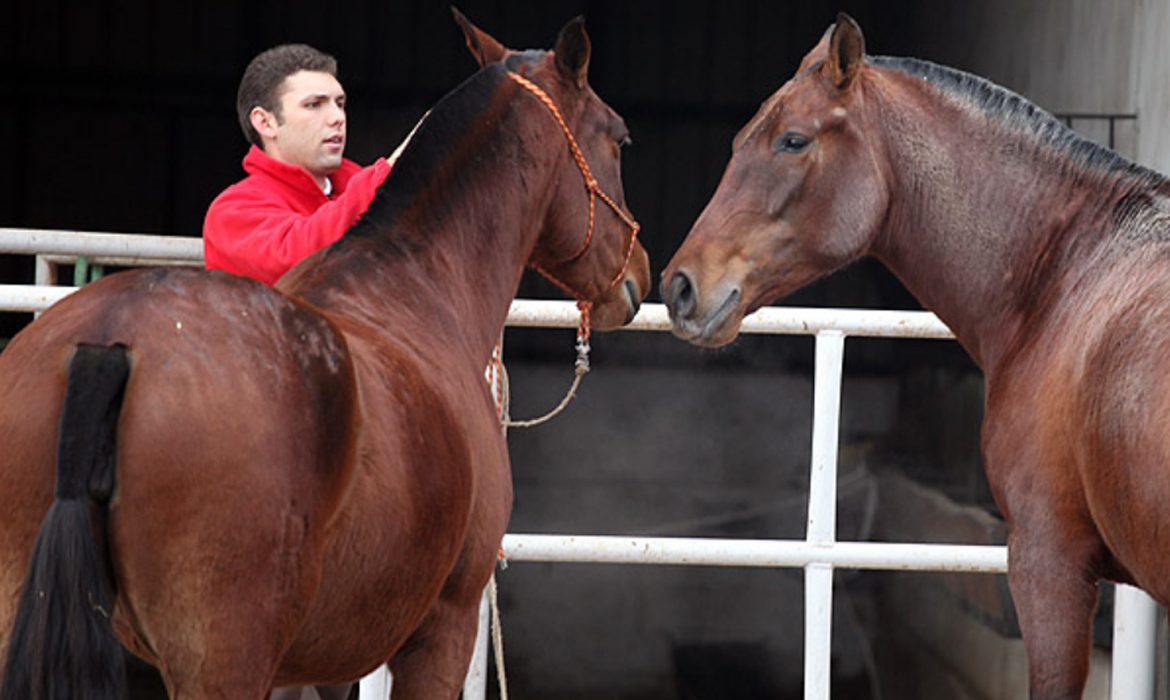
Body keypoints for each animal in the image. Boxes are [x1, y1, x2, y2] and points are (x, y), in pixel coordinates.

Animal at [0, 10, 650, 700]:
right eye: (620, 138)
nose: (638, 270)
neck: (419, 283)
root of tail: (108, 341)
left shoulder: (316, 661)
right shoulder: (444, 629)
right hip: (224, 660)